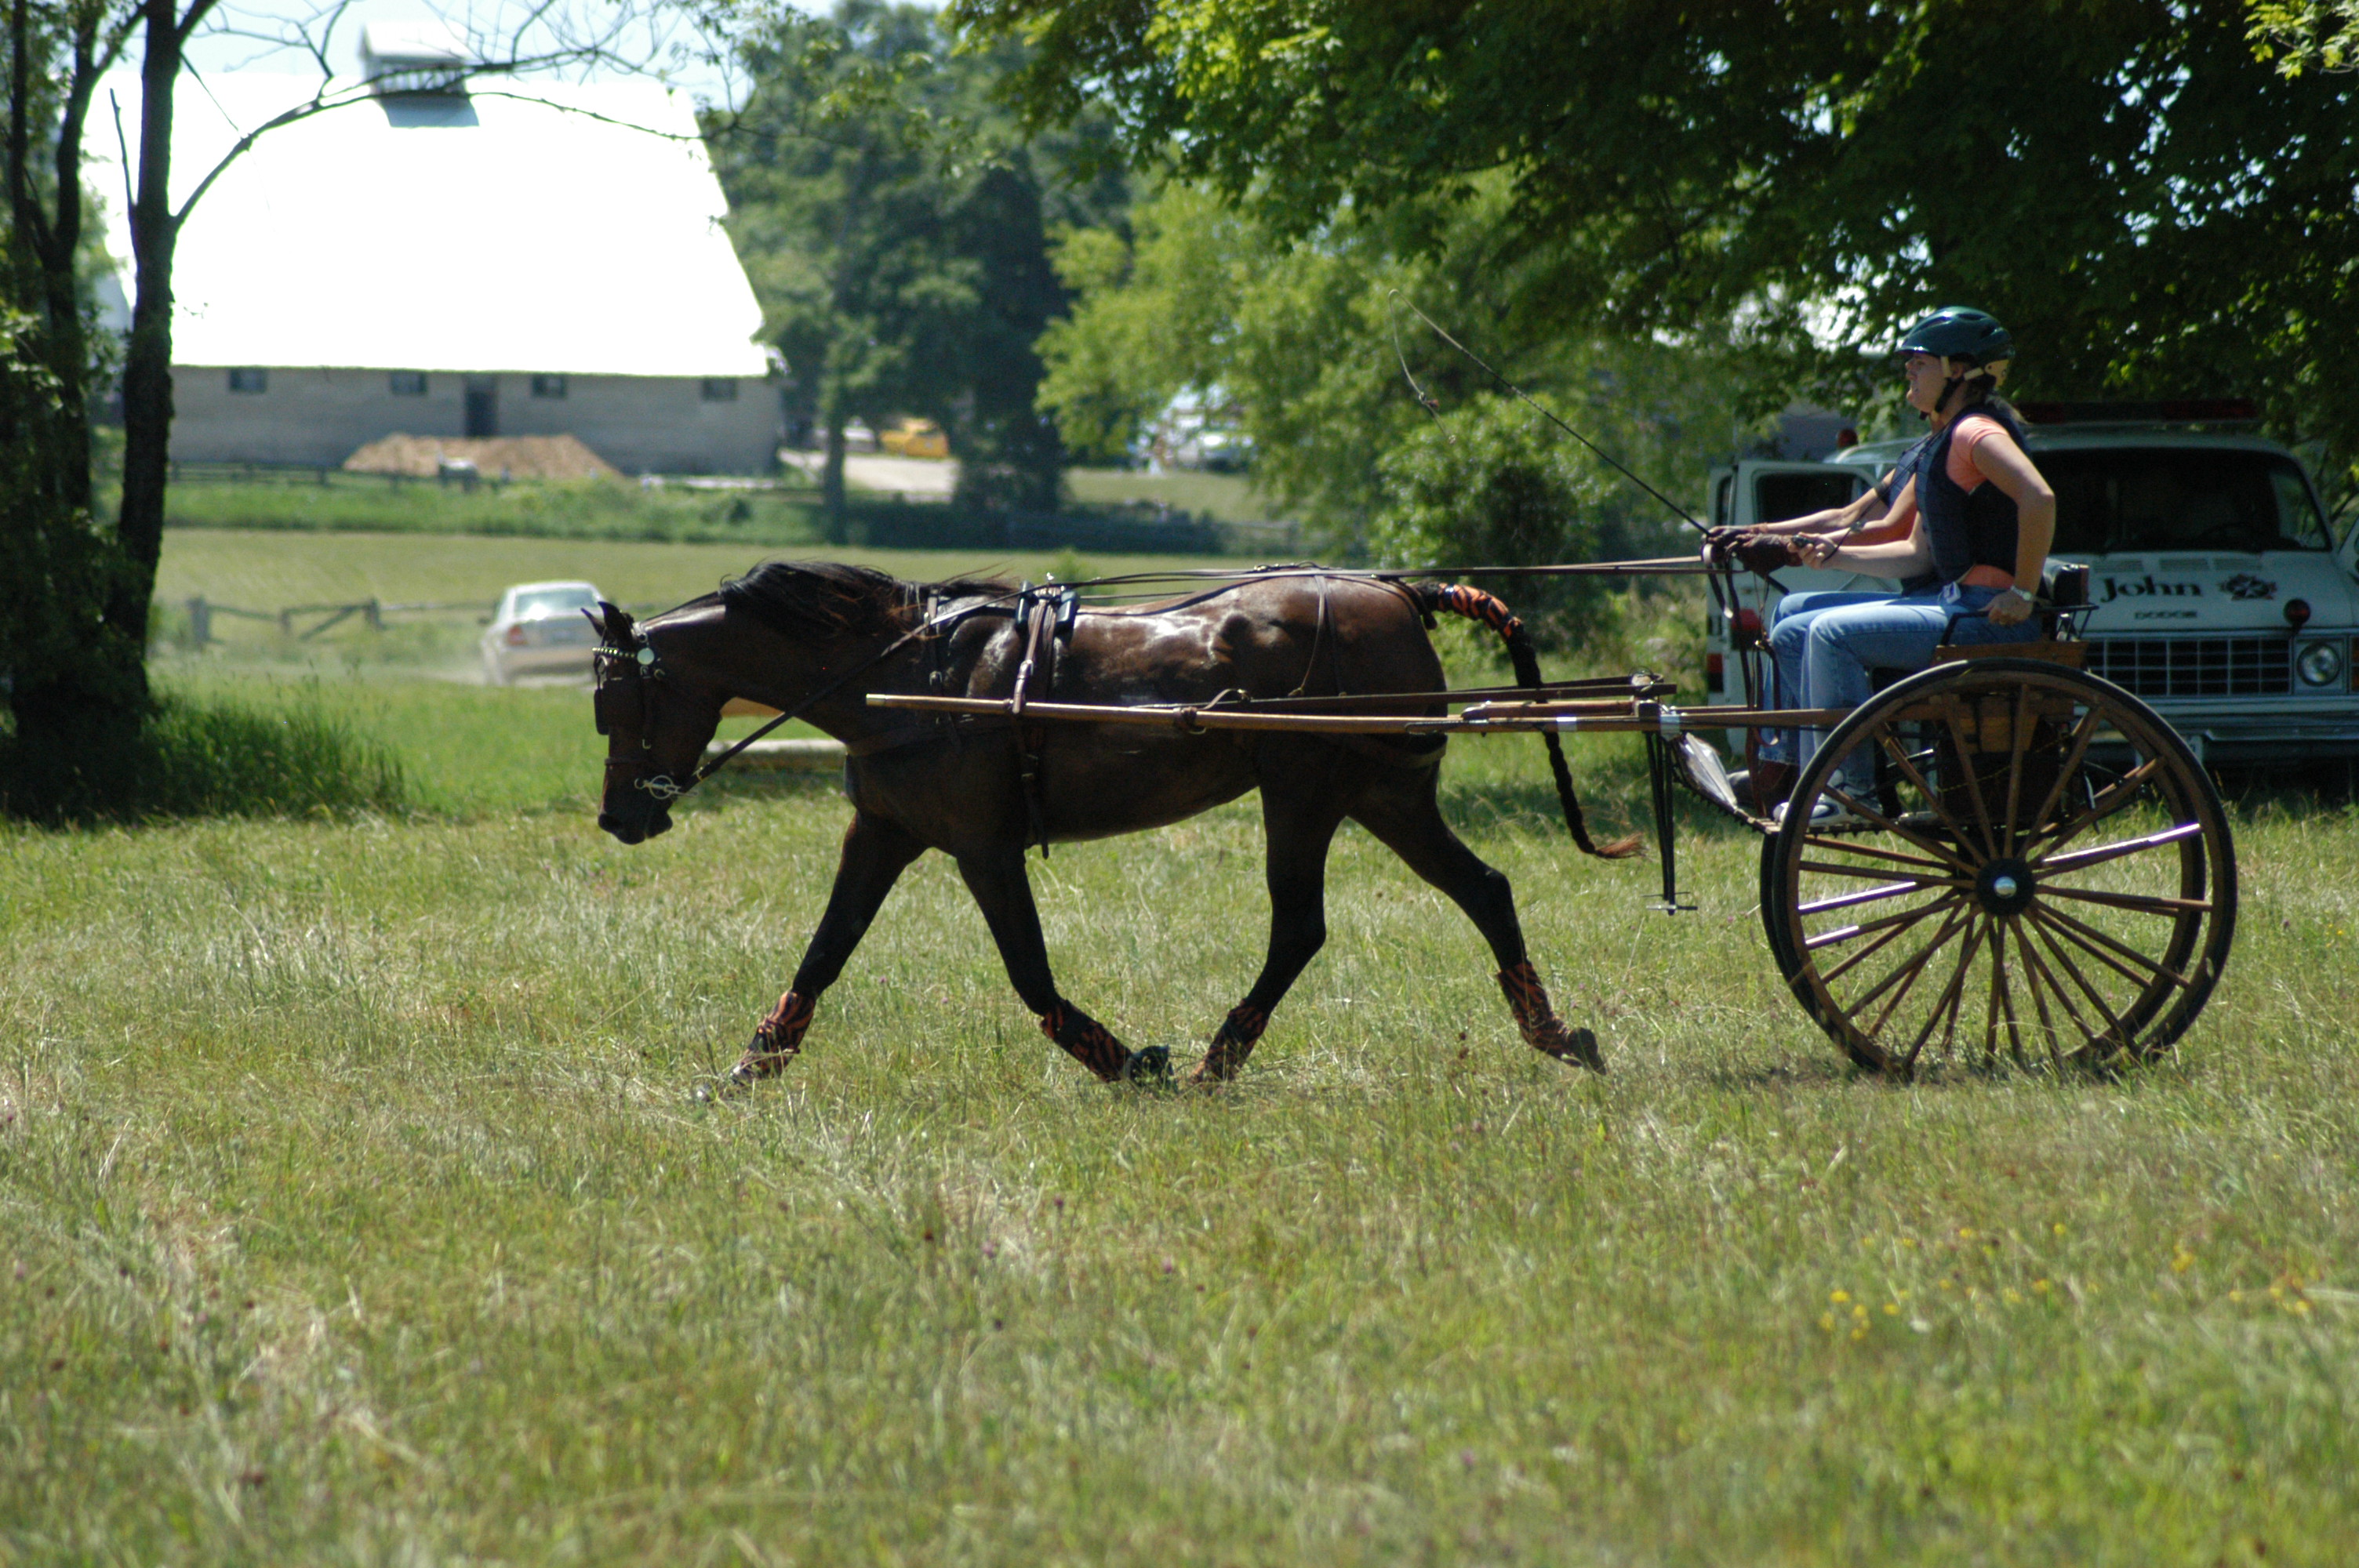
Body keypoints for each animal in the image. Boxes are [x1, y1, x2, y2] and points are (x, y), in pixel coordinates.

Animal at [590, 560, 1636, 1087]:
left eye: (617, 700)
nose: (616, 817)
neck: (907, 672)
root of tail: (1400, 593)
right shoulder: (883, 832)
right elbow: (825, 949)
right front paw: (749, 1064)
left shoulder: (982, 847)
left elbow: (1028, 973)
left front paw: (1133, 1063)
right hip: (1382, 796)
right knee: (1482, 888)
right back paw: (1554, 1033)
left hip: (1306, 791)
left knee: (1299, 926)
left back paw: (1214, 1059)